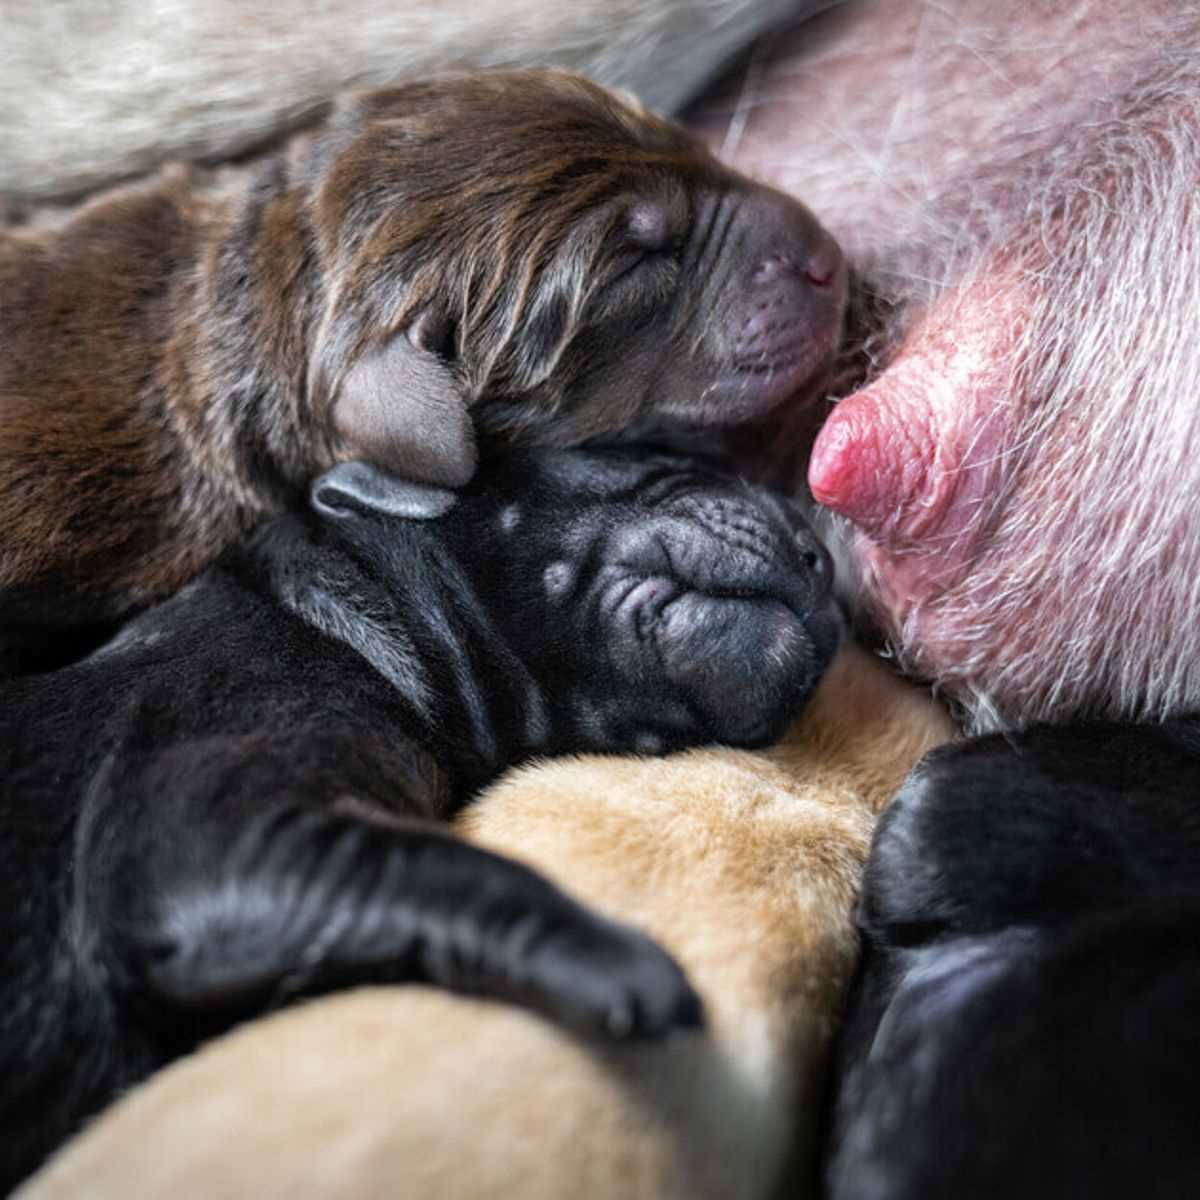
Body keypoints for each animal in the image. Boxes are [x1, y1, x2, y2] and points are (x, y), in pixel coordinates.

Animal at [0, 444, 840, 1190]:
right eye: (667, 458)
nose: (825, 561)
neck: (327, 617)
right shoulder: (203, 819)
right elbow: (455, 870)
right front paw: (626, 964)